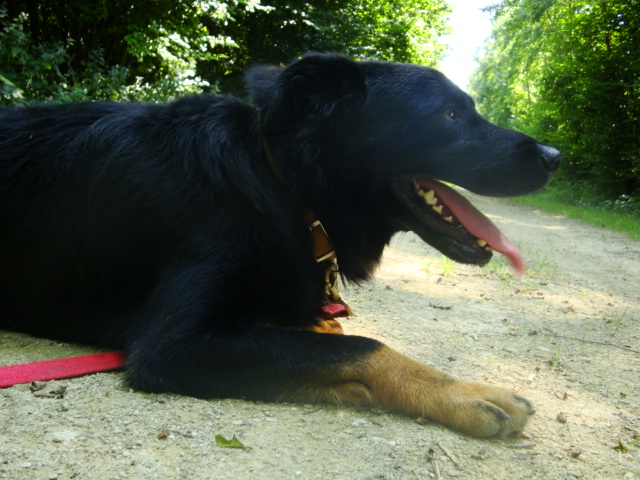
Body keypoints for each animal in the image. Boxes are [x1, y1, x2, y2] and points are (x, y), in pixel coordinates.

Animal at [0, 53, 556, 438]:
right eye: (448, 114)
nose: (555, 156)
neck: (278, 181)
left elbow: (326, 336)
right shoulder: (173, 343)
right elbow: (365, 345)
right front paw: (464, 393)